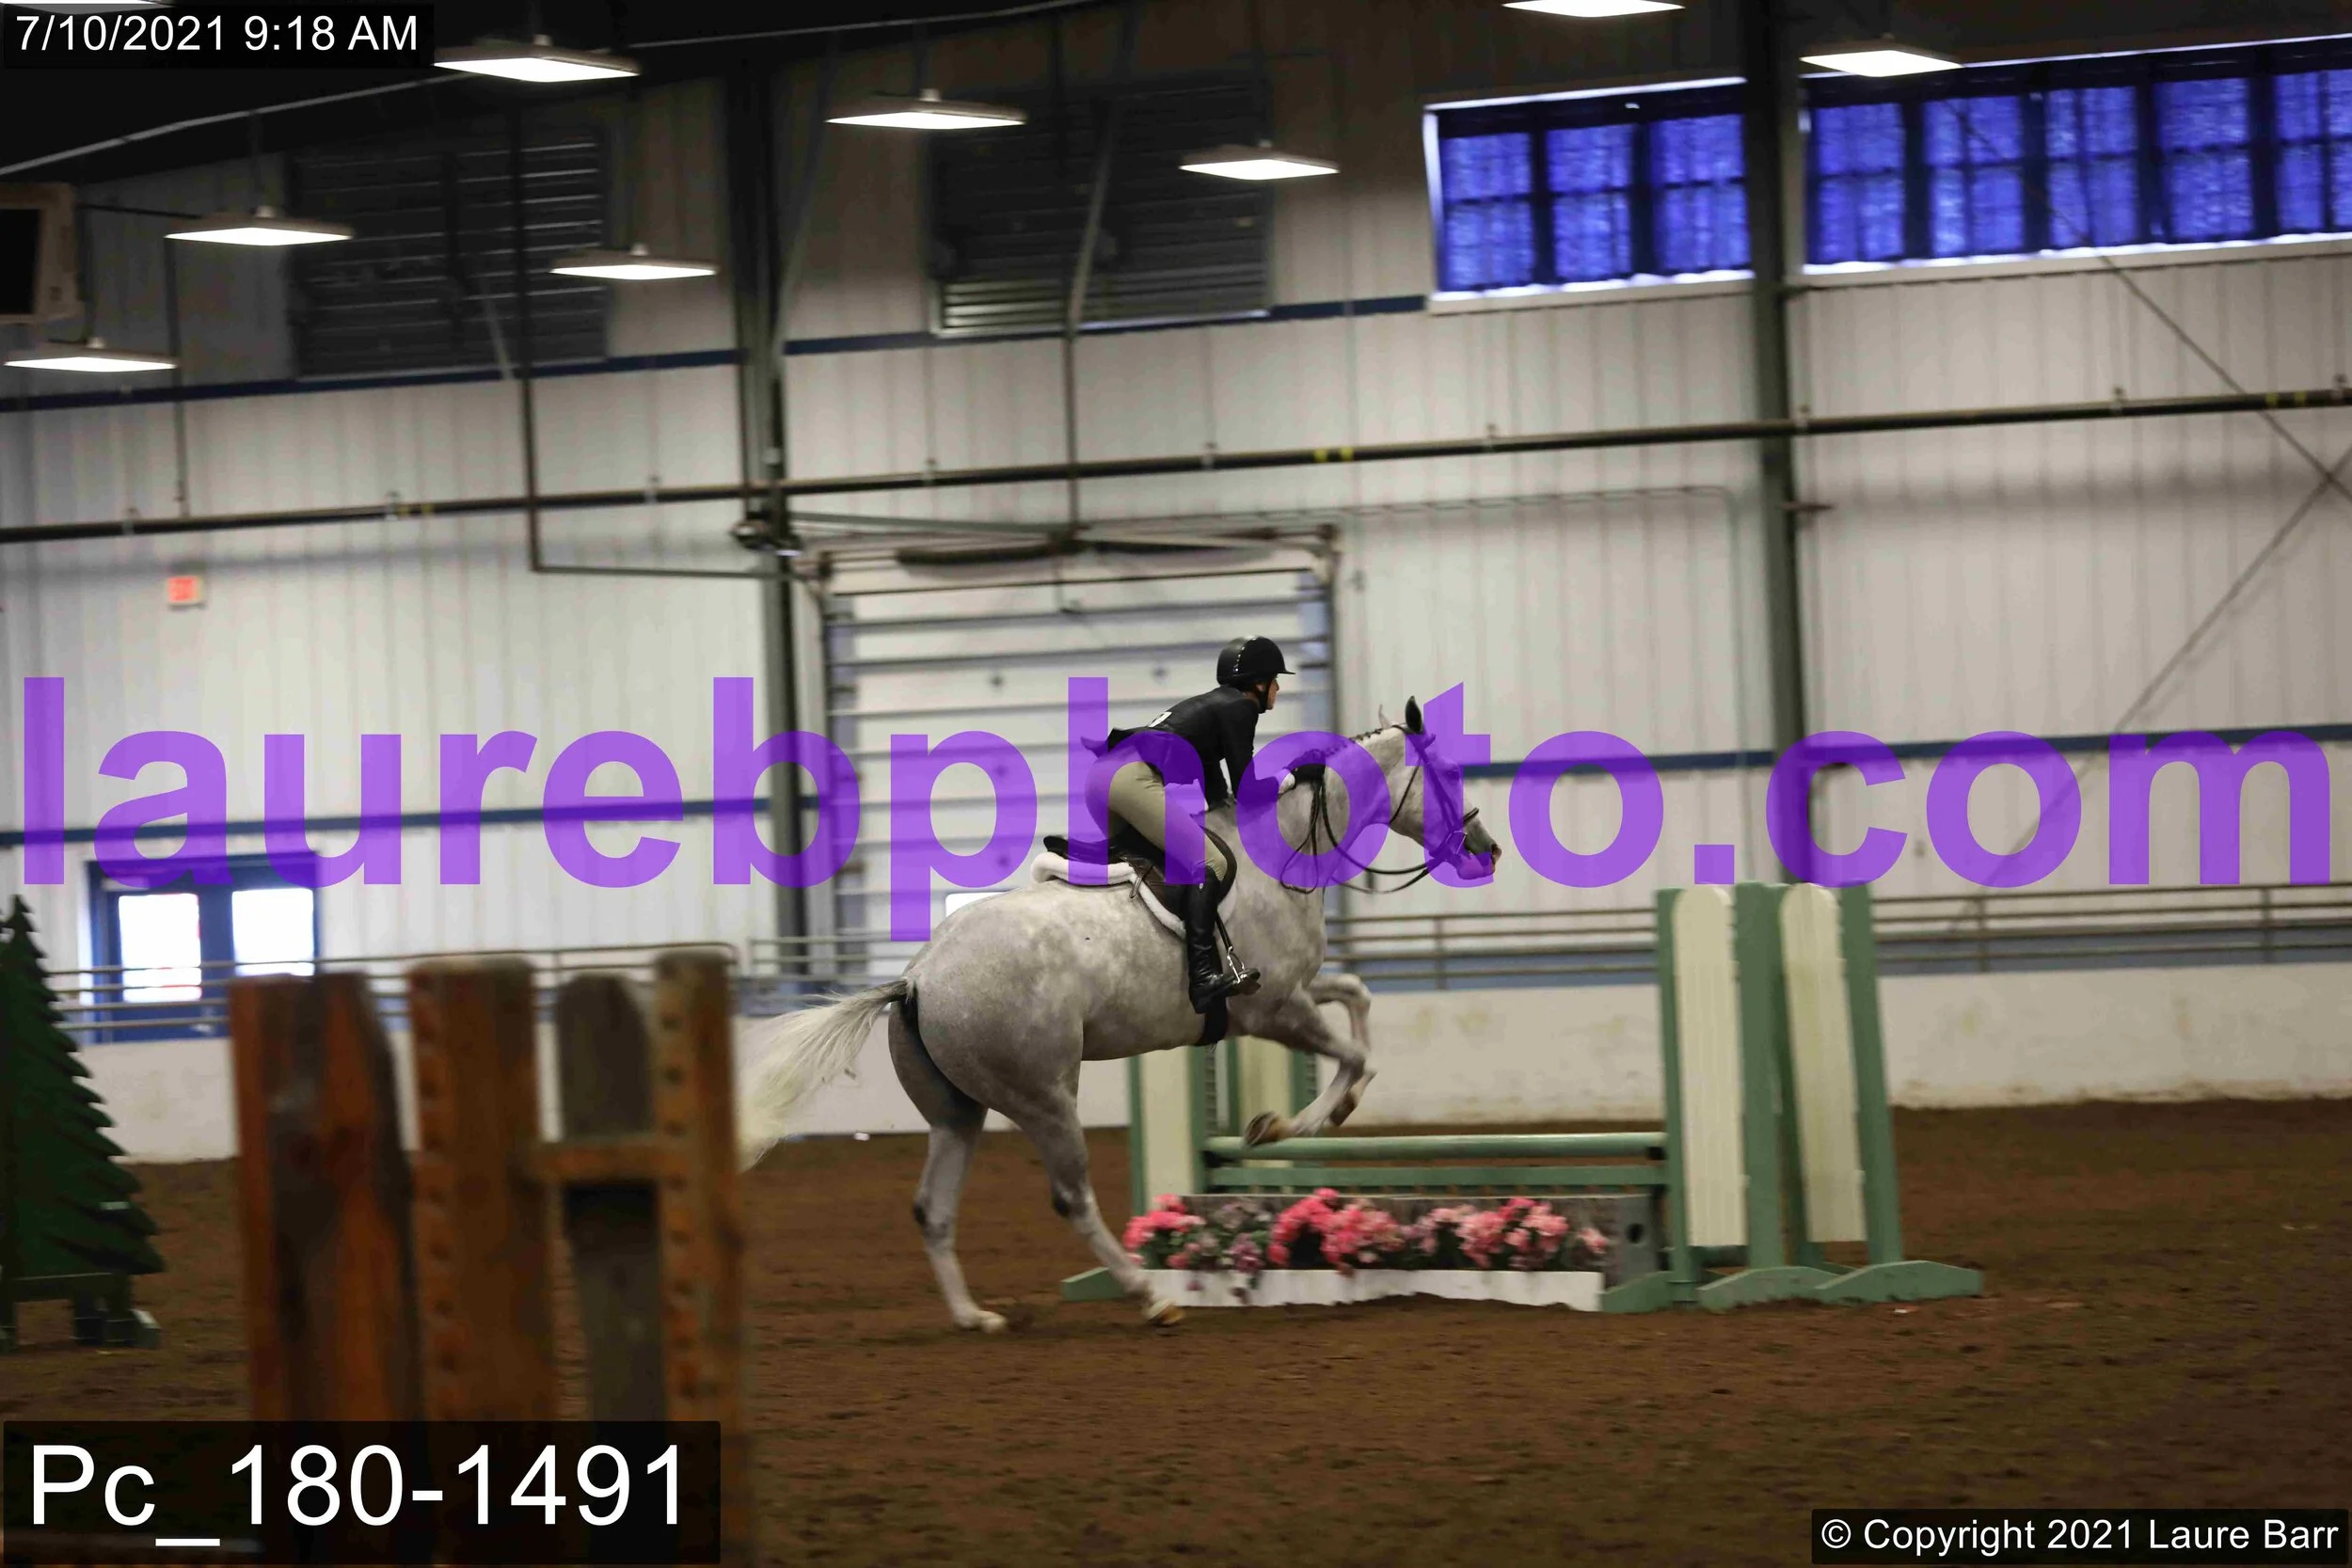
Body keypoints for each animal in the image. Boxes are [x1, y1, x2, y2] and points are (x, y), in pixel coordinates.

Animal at [741, 696, 1503, 1330]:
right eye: (1449, 774)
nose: (1486, 848)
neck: (1283, 848)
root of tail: (916, 979)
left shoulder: (1290, 996)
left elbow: (1358, 1000)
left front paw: (1318, 1115)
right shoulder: (1272, 1009)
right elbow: (1353, 1055)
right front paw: (1288, 1125)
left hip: (958, 1112)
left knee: (934, 1207)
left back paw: (975, 1317)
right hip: (1044, 1094)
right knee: (1070, 1196)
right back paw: (1150, 1296)